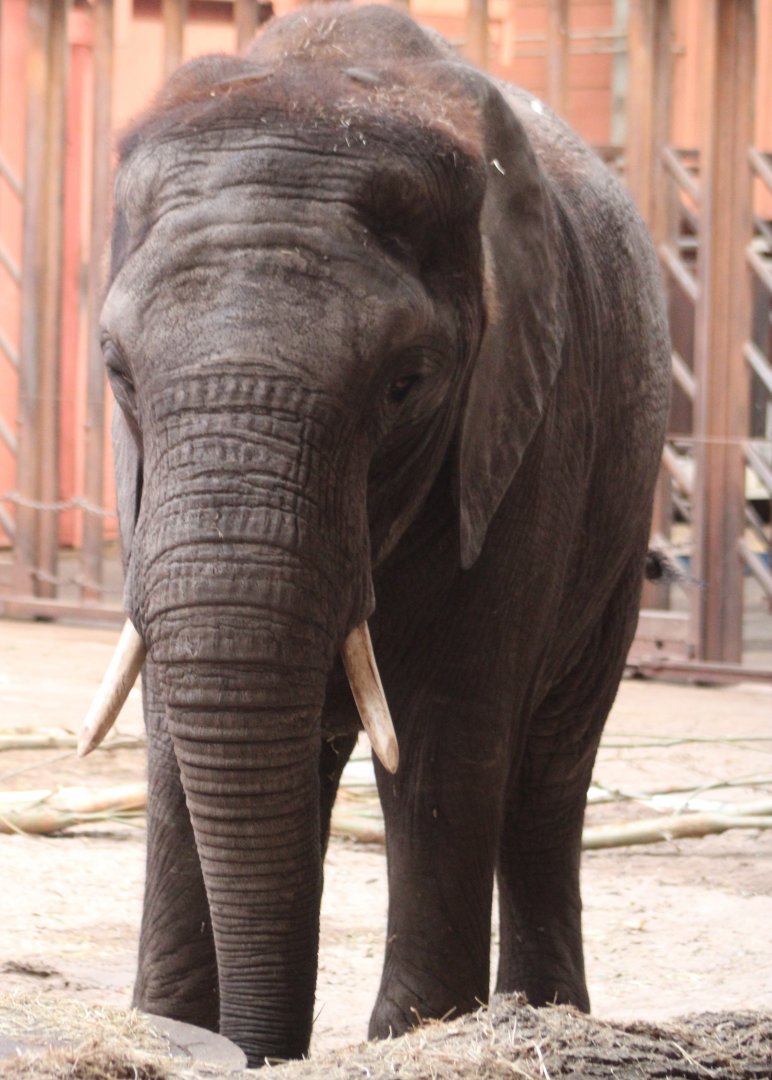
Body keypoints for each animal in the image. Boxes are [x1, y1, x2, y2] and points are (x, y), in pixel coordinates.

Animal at [80, 3, 671, 1067]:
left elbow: (444, 733)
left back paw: (546, 1017)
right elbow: (173, 729)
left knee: (550, 768)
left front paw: (417, 1036)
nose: (260, 1053)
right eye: (117, 370)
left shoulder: (526, 428)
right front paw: (175, 1032)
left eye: (406, 385)